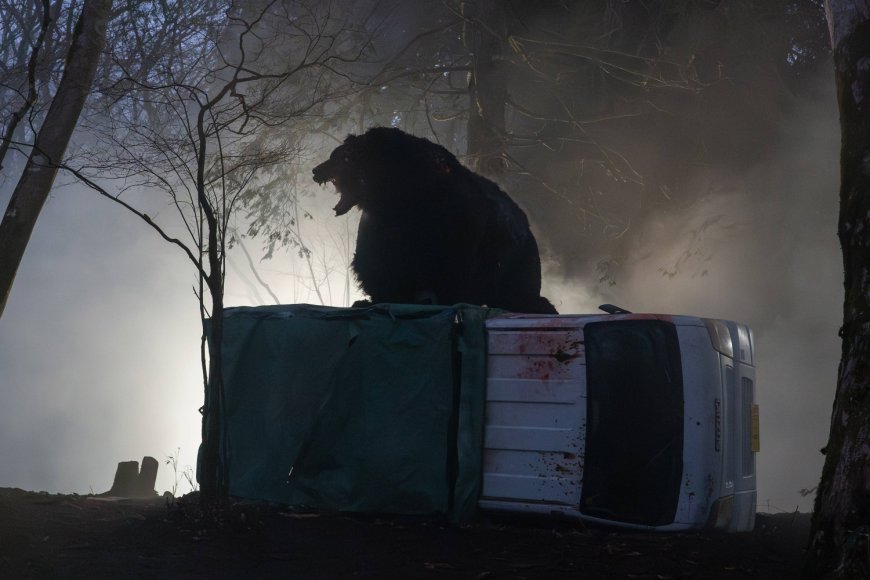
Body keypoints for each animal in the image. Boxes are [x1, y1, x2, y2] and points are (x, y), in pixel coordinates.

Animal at [312, 127, 557, 314]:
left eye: (344, 156)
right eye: (334, 154)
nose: (316, 170)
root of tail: (526, 224)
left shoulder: (455, 225)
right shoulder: (383, 228)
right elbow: (377, 265)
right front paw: (370, 299)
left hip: (511, 253)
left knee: (515, 290)